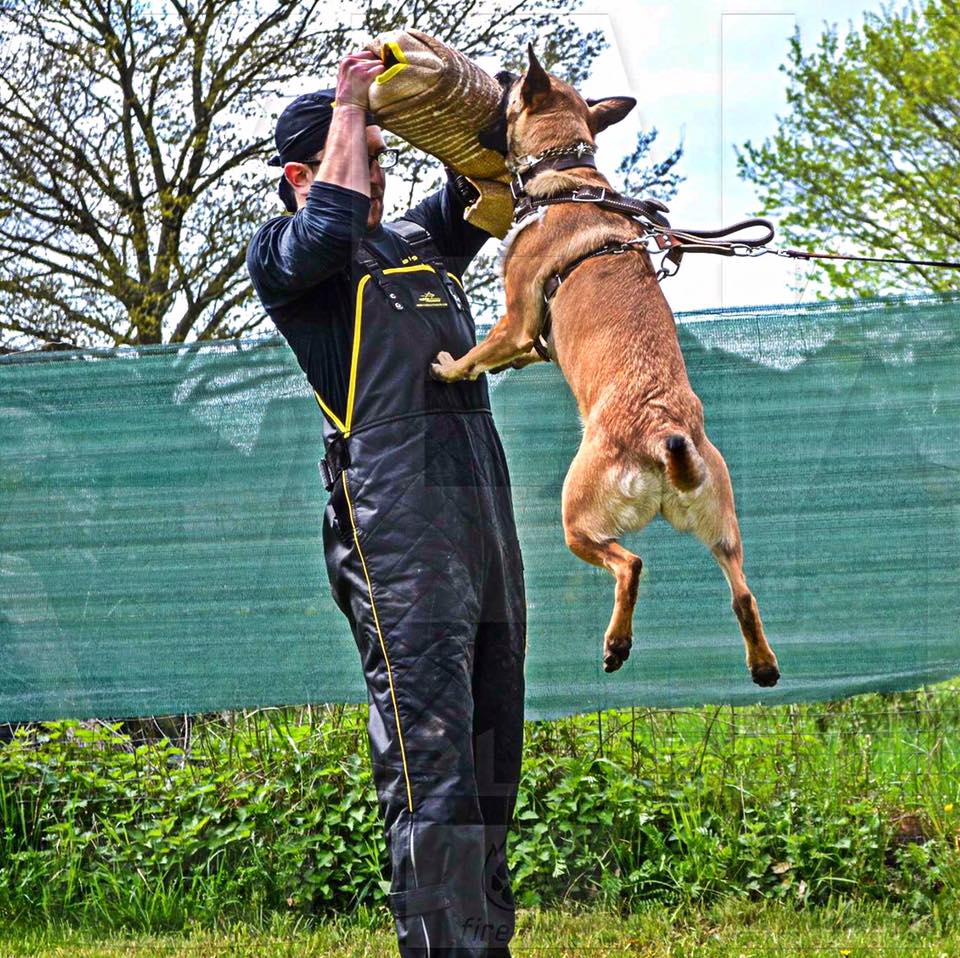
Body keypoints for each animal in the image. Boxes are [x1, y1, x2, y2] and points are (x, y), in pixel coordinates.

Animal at [432, 47, 784, 688]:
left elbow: (479, 351)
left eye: (511, 83)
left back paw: (617, 644)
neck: (568, 180)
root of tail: (663, 431)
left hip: (577, 518)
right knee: (742, 593)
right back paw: (763, 665)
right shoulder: (529, 334)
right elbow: (518, 353)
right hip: (722, 528)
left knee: (631, 563)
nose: (497, 73)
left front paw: (450, 368)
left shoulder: (516, 316)